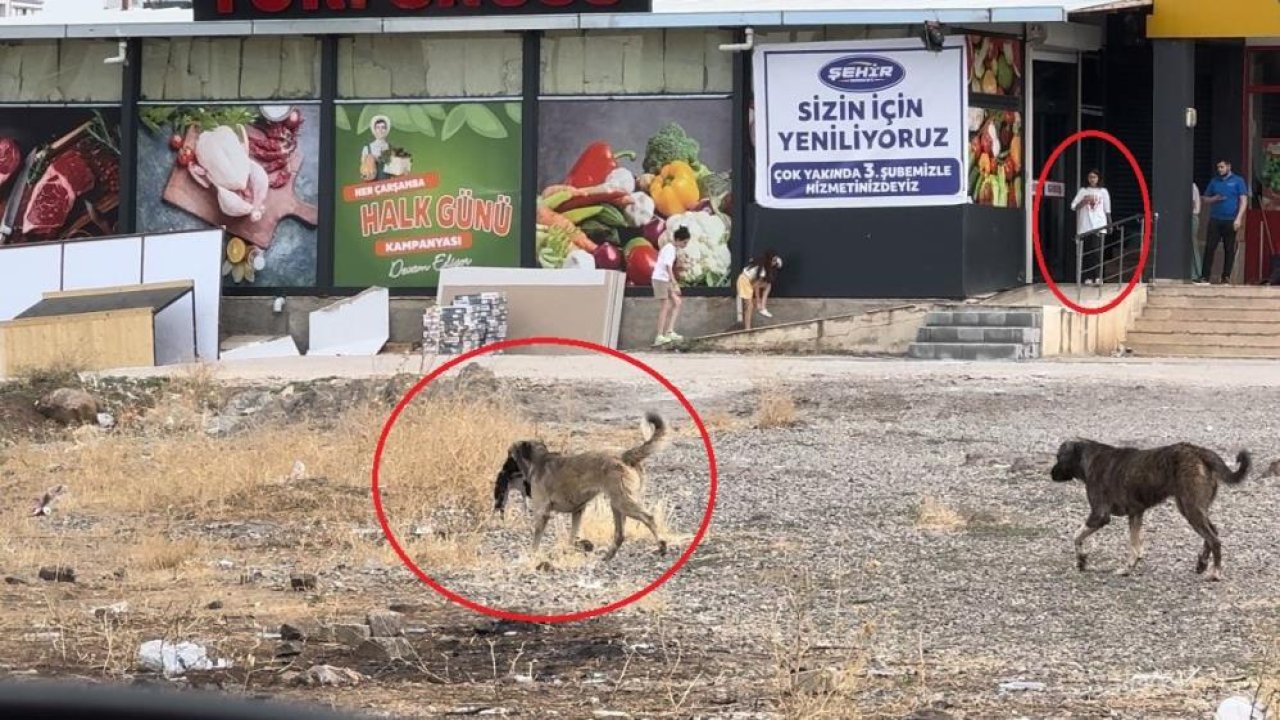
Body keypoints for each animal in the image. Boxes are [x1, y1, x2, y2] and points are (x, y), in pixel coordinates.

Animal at [506, 409, 675, 561]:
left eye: (510, 455)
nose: (504, 469)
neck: (539, 459)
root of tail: (625, 455)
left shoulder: (542, 512)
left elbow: (536, 539)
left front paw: (532, 555)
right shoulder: (578, 511)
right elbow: (572, 536)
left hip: (623, 502)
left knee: (649, 518)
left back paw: (661, 546)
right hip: (617, 503)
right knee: (620, 534)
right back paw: (608, 556)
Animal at [1054, 438, 1254, 576]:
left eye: (1058, 457)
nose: (1050, 474)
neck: (1089, 458)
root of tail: (1199, 451)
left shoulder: (1099, 515)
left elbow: (1076, 536)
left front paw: (1081, 559)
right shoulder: (1135, 513)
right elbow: (1135, 546)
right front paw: (1129, 567)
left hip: (1190, 509)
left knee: (1215, 540)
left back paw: (1215, 572)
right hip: (1191, 507)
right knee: (1213, 532)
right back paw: (1202, 563)